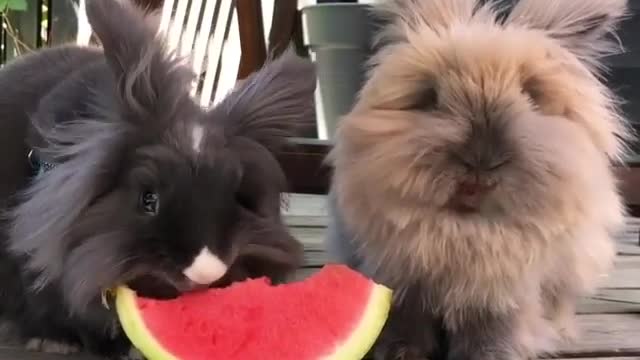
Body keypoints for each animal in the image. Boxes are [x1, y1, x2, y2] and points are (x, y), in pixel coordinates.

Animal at [328, 0, 632, 360]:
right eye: (429, 96)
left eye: (532, 95)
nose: (481, 159)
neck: (466, 227)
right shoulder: (401, 280)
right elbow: (406, 319)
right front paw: (399, 352)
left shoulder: (502, 297)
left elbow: (491, 330)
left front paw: (488, 354)